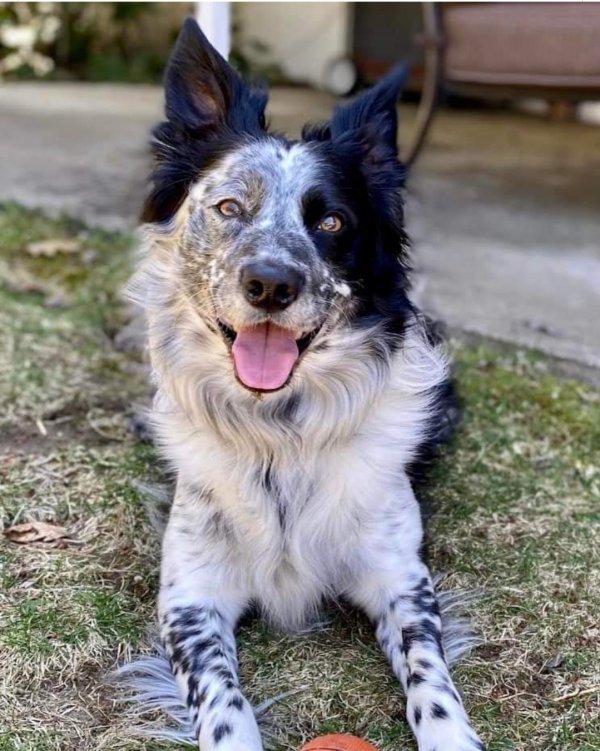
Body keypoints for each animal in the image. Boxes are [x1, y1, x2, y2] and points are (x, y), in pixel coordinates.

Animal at [123, 17, 488, 751]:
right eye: (229, 207)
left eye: (331, 222)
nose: (270, 283)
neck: (280, 434)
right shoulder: (190, 598)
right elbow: (223, 701)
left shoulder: (402, 579)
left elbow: (432, 679)